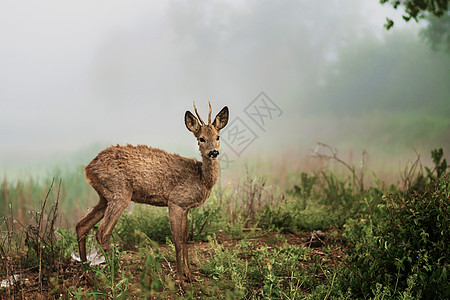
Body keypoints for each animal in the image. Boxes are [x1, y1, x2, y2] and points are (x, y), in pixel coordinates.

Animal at [75, 101, 229, 284]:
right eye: (201, 138)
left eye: (218, 137)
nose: (213, 152)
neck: (202, 179)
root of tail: (88, 169)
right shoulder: (175, 201)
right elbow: (177, 240)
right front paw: (180, 279)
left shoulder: (185, 207)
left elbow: (185, 240)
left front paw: (190, 275)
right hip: (119, 193)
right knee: (102, 233)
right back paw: (116, 276)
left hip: (105, 197)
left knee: (81, 226)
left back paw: (88, 276)